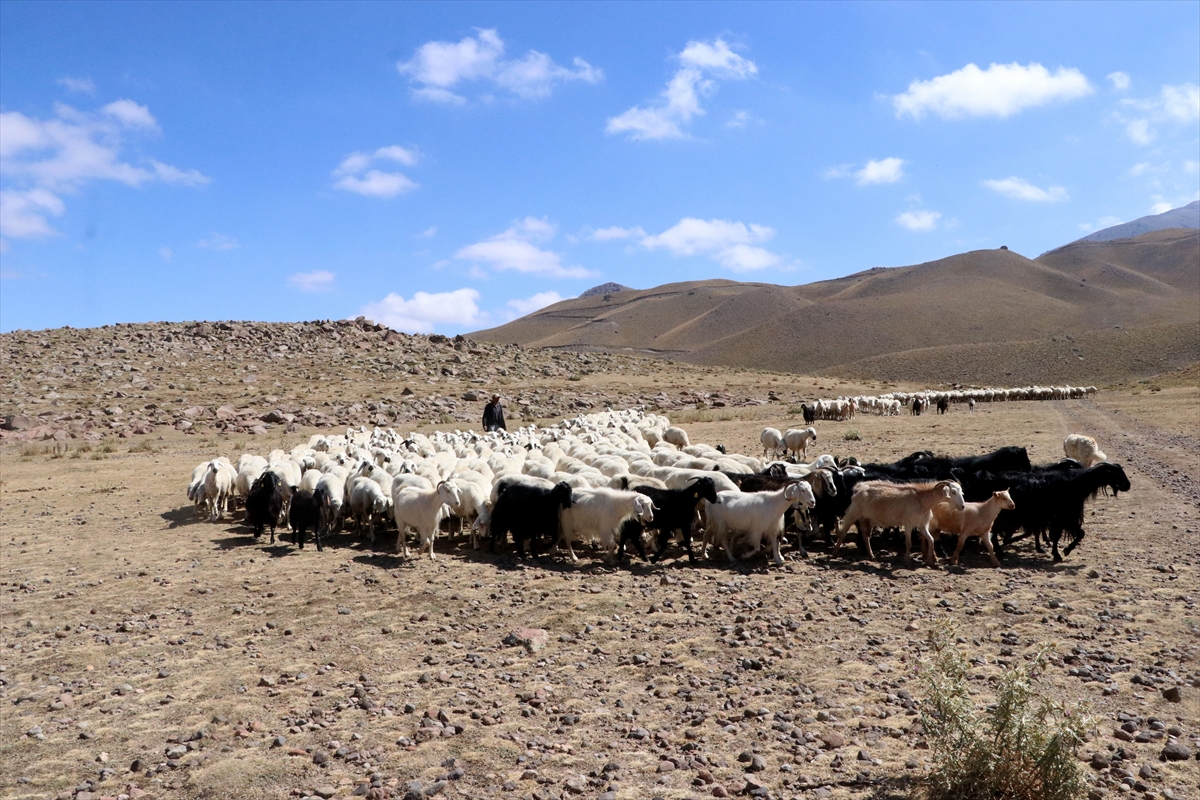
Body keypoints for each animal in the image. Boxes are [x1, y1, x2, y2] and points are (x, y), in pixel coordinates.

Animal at [834, 480, 965, 566]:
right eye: (953, 492)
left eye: (961, 491)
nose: (962, 506)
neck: (921, 501)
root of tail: (858, 486)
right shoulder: (908, 524)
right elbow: (909, 543)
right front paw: (906, 560)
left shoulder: (922, 525)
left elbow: (931, 539)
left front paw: (929, 560)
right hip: (854, 513)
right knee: (844, 532)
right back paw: (835, 553)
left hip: (867, 518)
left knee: (866, 536)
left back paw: (871, 555)